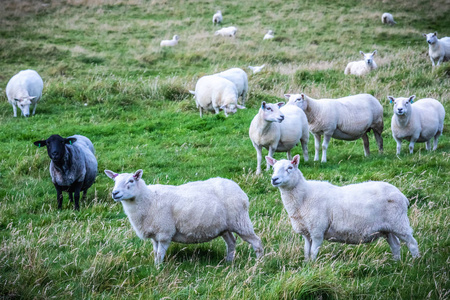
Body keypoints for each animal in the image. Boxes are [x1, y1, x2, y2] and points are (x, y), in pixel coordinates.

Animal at [104, 169, 264, 264]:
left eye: (131, 181)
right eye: (115, 181)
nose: (115, 193)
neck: (149, 199)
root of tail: (238, 189)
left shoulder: (164, 233)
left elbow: (160, 253)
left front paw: (158, 270)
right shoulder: (155, 235)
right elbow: (155, 252)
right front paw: (155, 266)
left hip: (240, 221)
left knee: (256, 242)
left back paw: (259, 263)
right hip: (224, 226)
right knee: (231, 242)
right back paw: (228, 262)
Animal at [266, 154, 420, 262]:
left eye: (290, 168)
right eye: (273, 168)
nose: (274, 179)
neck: (304, 197)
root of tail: (402, 195)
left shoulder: (317, 231)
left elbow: (313, 252)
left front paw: (313, 267)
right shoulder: (306, 233)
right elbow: (306, 252)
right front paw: (306, 266)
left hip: (399, 223)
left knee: (412, 243)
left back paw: (415, 263)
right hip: (388, 228)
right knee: (395, 245)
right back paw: (396, 263)